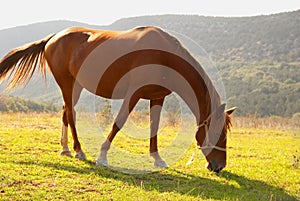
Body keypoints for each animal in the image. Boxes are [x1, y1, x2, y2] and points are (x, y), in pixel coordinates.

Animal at [0, 25, 236, 173]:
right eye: (219, 133)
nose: (219, 166)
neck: (165, 56)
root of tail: (53, 38)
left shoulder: (156, 97)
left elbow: (154, 127)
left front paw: (157, 159)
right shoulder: (133, 94)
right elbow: (119, 122)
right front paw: (102, 156)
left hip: (75, 86)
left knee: (66, 113)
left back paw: (66, 149)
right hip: (67, 84)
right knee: (71, 114)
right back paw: (79, 151)